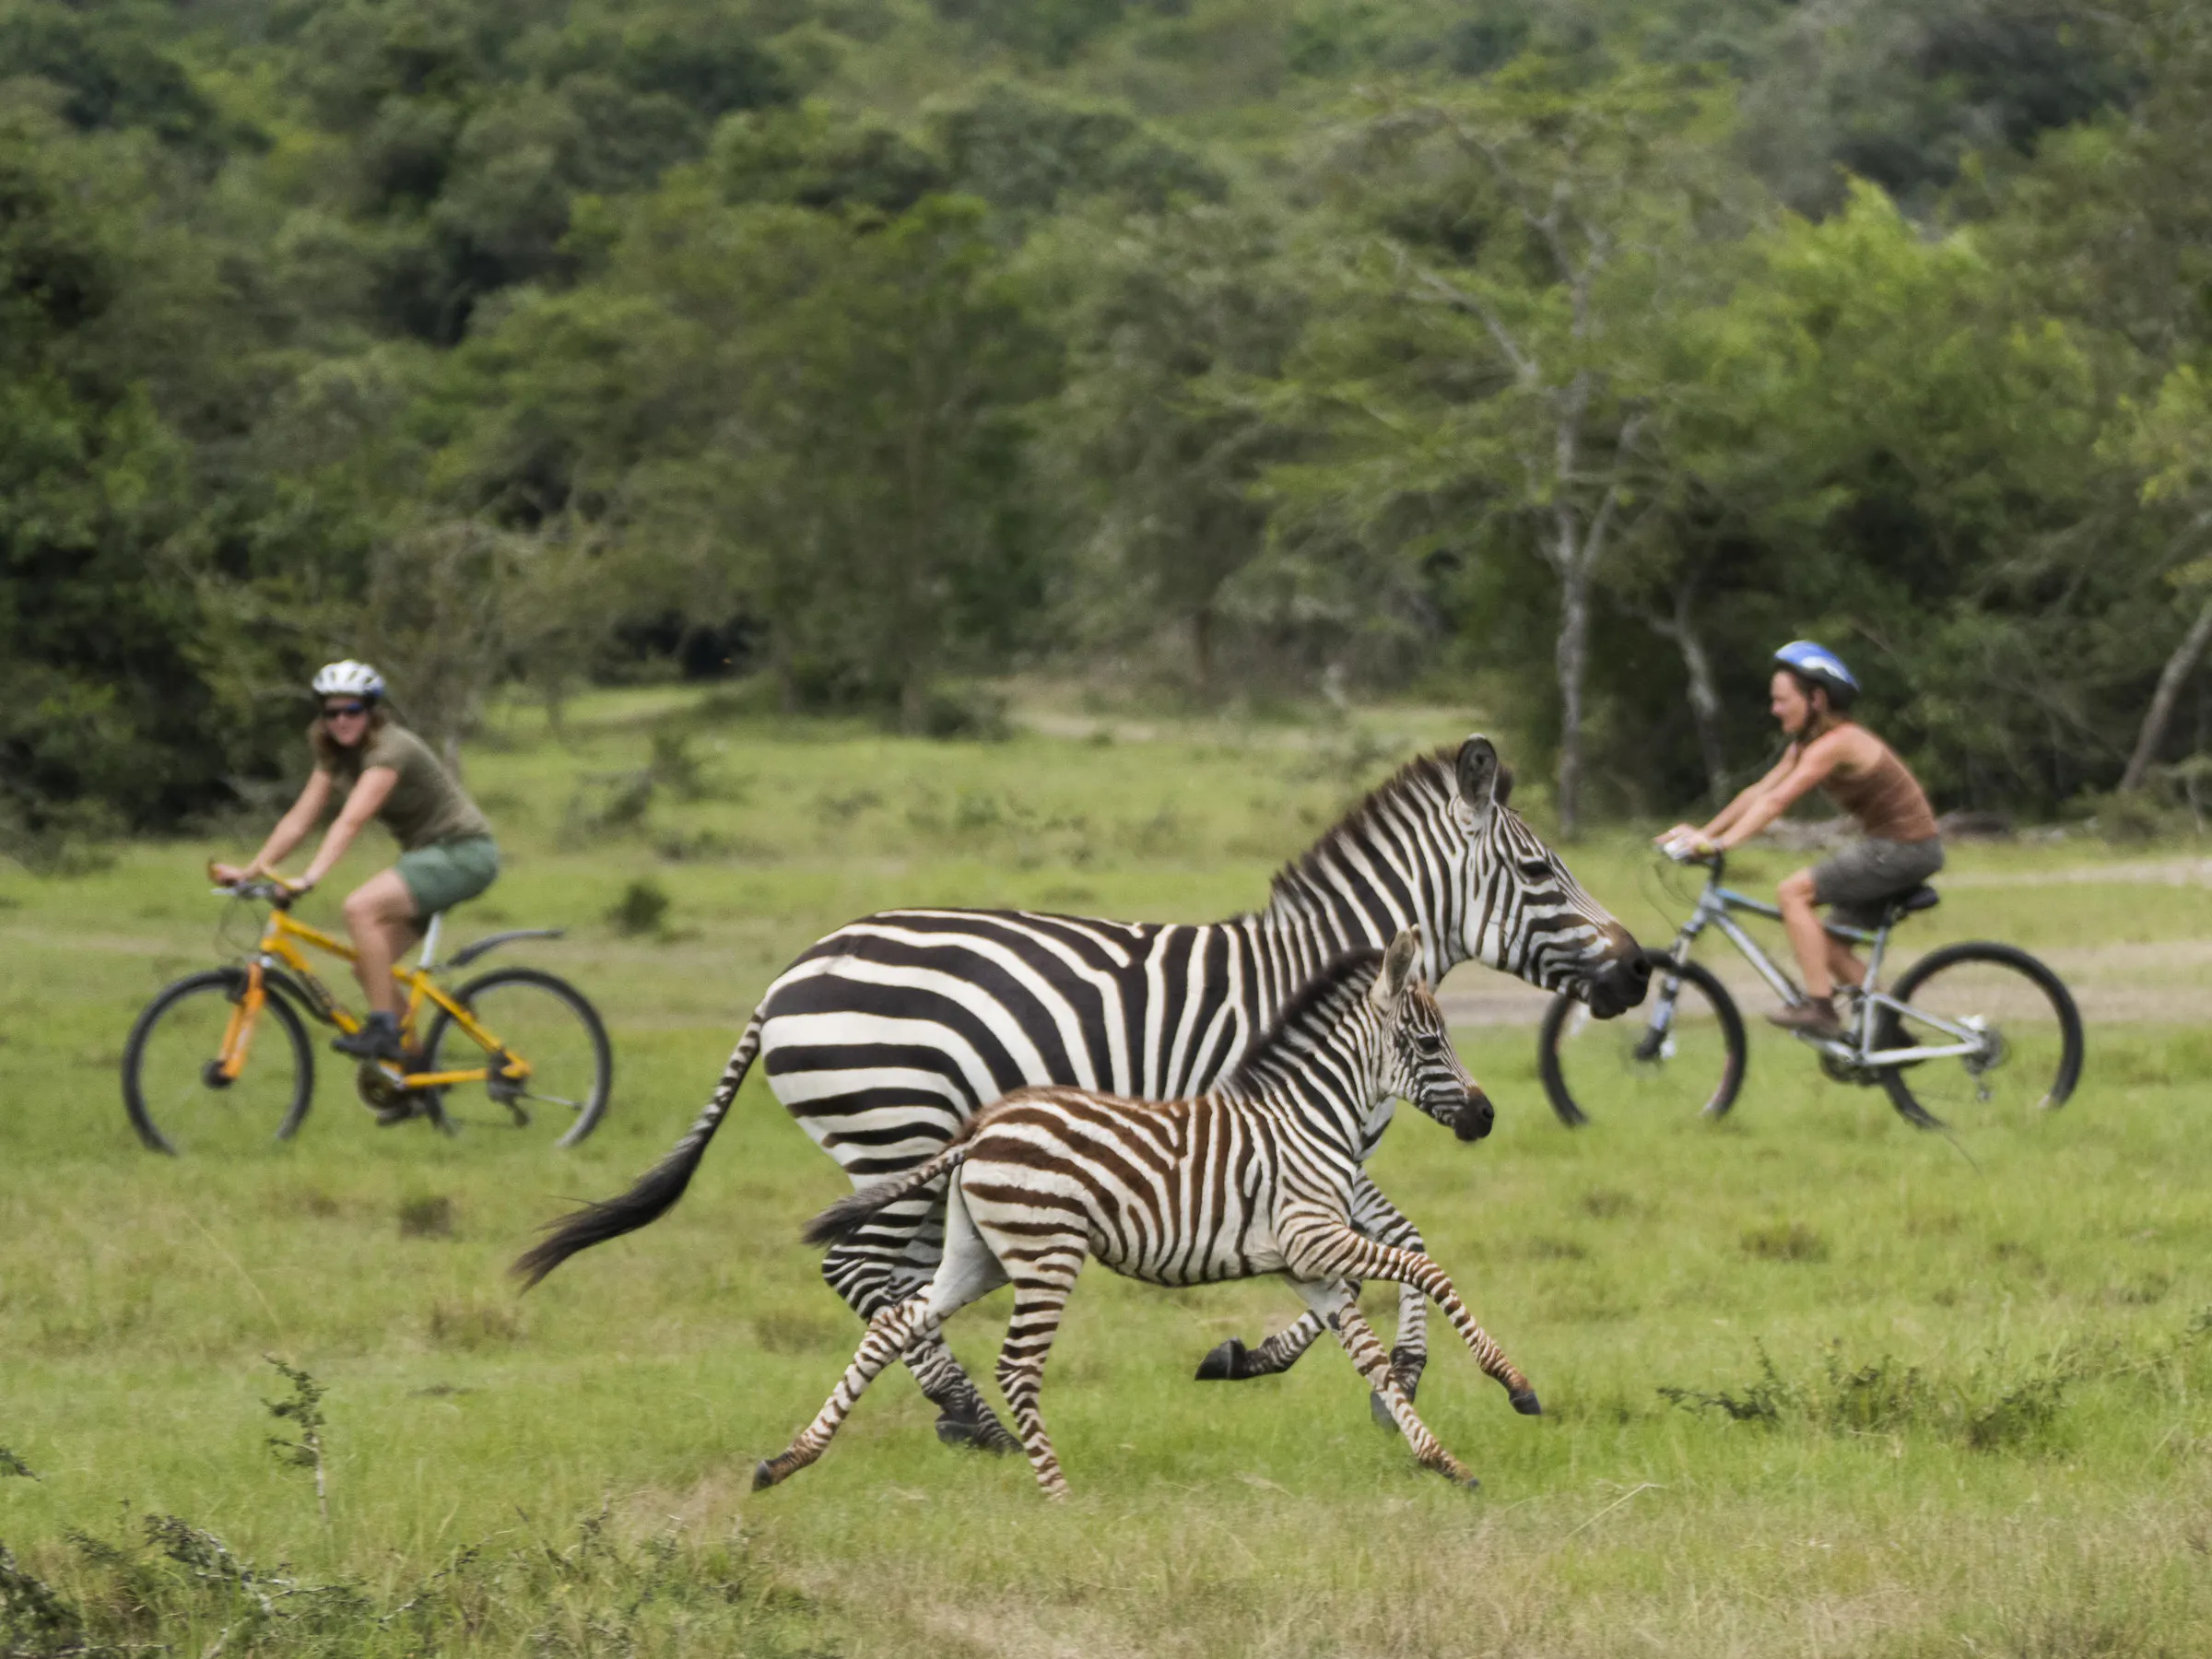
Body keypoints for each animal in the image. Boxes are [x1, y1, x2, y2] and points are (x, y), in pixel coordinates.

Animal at [754, 927, 1536, 1498]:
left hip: (978, 1258)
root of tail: (979, 1129)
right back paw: (1059, 1494)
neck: (1308, 1117)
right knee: (1014, 1365)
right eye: (1429, 1042)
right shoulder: (1315, 1239)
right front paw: (1515, 1386)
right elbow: (1427, 1269)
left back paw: (787, 1460)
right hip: (1046, 1252)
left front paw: (1444, 1461)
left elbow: (1369, 1358)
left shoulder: (1305, 1265)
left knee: (893, 1326)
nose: (1487, 1116)